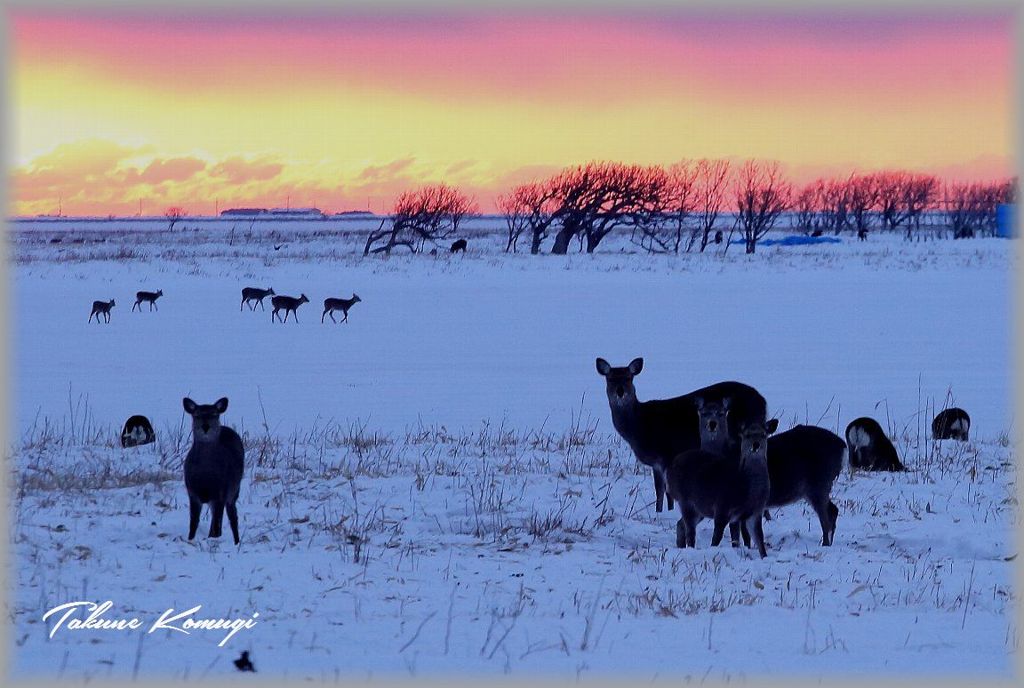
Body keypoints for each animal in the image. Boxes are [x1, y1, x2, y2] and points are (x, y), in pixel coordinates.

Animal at [181, 395, 242, 544]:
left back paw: (237, 541)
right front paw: (190, 540)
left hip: (234, 491)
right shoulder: (192, 492)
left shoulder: (220, 492)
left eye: (215, 414)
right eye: (196, 415)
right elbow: (193, 523)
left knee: (233, 517)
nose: (205, 427)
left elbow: (217, 524)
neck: (206, 475)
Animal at [593, 358, 770, 513]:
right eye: (610, 379)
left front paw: (670, 511)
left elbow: (668, 491)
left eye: (629, 378)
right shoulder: (656, 462)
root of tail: (762, 401)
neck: (639, 426)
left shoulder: (668, 453)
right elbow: (659, 490)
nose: (620, 391)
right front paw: (659, 512)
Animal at [667, 419, 770, 556]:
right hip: (685, 500)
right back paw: (689, 548)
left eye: (764, 434)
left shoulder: (755, 512)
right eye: (747, 435)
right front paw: (713, 550)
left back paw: (681, 547)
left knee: (680, 524)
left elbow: (758, 538)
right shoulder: (722, 506)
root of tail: (669, 471)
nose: (756, 445)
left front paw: (764, 556)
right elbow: (717, 536)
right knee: (690, 530)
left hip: (700, 508)